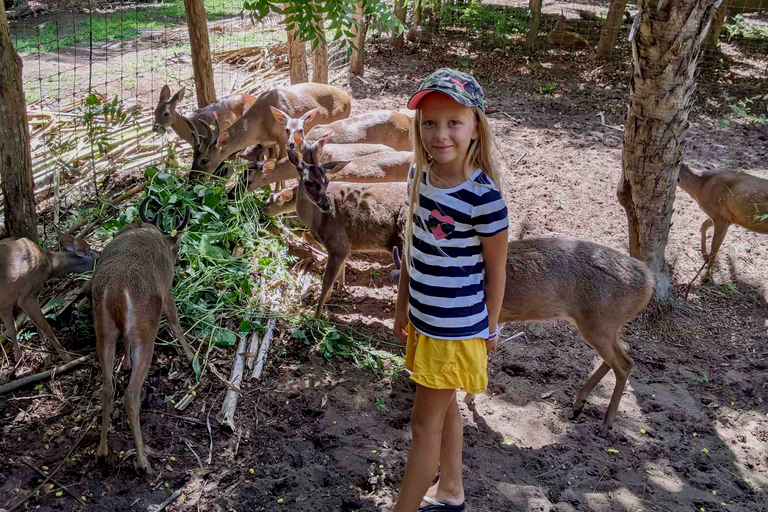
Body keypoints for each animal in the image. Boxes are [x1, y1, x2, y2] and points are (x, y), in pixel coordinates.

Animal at [0, 234, 100, 362]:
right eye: (99, 255)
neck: (50, 264)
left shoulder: (6, 303)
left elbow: (12, 330)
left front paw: (18, 359)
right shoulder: (28, 295)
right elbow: (47, 328)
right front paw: (68, 358)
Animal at [92, 197, 195, 472]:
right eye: (177, 247)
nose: (179, 259)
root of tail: (116, 291)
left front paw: (126, 362)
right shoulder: (166, 290)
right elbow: (175, 320)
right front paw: (191, 356)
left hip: (102, 330)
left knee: (107, 388)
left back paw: (102, 450)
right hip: (147, 329)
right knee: (130, 396)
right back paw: (143, 462)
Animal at [189, 84, 352, 178]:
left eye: (204, 159)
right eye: (193, 155)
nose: (192, 178)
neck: (261, 123)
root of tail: (348, 98)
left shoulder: (283, 140)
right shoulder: (269, 143)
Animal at [390, 238, 656, 434]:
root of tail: (648, 281)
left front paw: (467, 398)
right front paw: (469, 398)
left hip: (600, 321)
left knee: (624, 364)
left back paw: (605, 423)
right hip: (602, 325)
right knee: (624, 351)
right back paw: (578, 404)